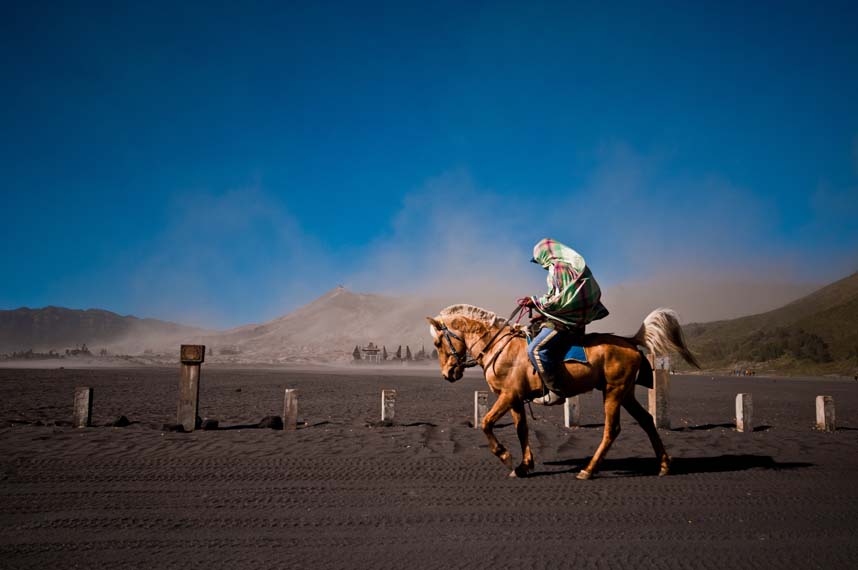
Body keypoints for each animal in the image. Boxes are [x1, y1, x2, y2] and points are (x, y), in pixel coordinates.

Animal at [424, 304, 700, 478]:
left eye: (437, 342)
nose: (448, 374)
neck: (498, 347)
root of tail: (630, 341)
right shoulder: (516, 399)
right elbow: (522, 430)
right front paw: (524, 465)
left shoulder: (508, 396)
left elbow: (486, 423)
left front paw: (505, 456)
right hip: (626, 393)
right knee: (647, 421)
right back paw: (663, 465)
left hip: (614, 392)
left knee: (612, 429)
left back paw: (589, 470)